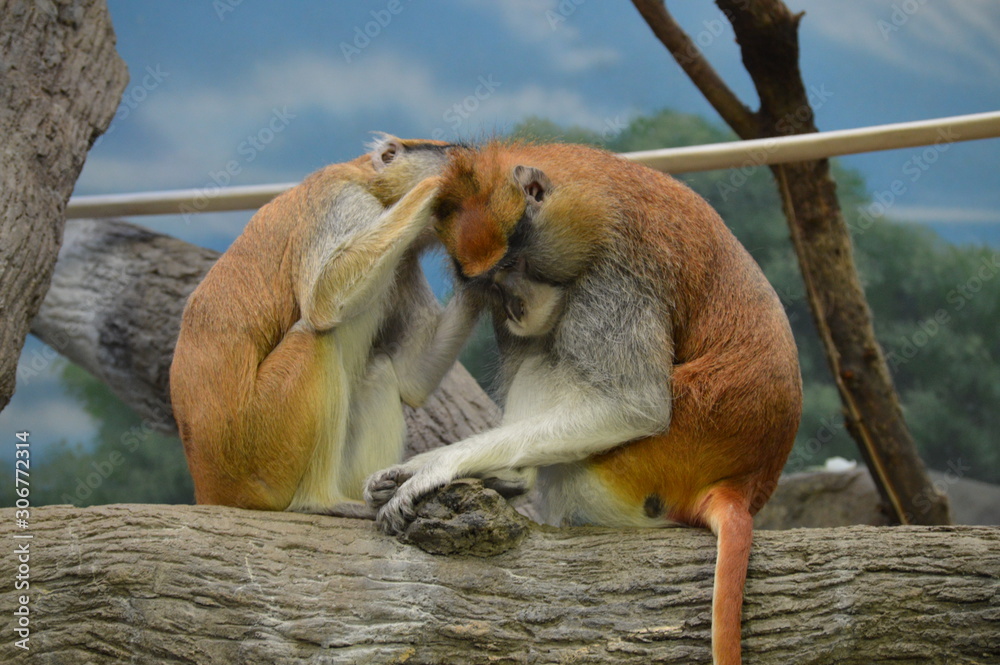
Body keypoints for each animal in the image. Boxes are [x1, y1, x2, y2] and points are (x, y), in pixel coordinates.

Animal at [169, 135, 480, 516]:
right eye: (452, 152)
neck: (371, 183)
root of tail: (211, 488)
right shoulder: (343, 201)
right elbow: (324, 298)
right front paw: (439, 184)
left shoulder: (404, 260)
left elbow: (412, 378)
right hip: (261, 449)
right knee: (315, 338)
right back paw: (322, 501)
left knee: (377, 369)